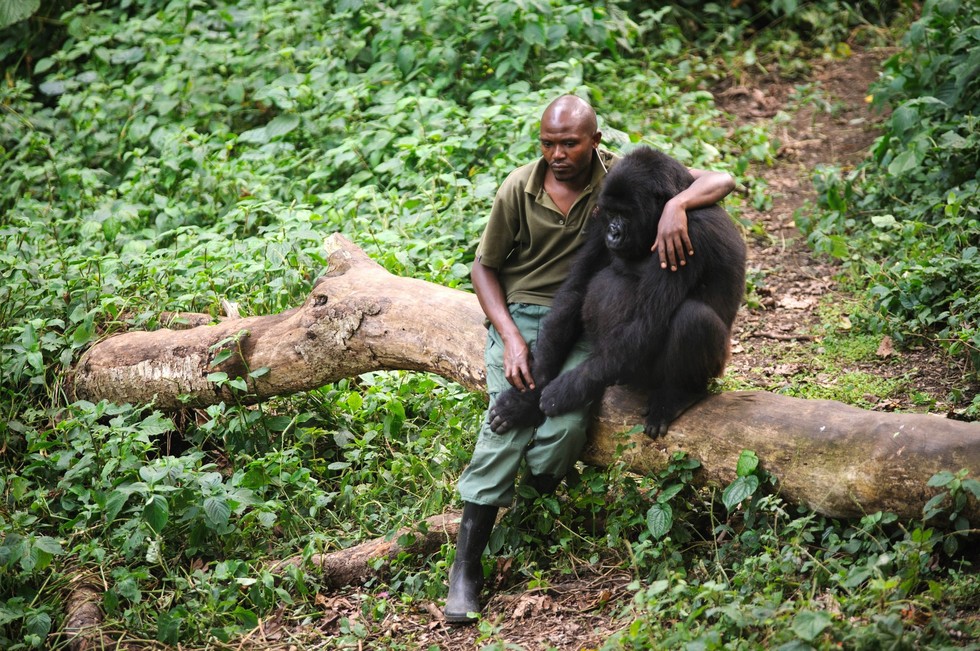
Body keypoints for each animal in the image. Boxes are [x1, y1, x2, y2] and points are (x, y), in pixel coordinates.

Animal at [486, 146, 748, 438]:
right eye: (611, 214)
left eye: (626, 214)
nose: (613, 233)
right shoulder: (598, 218)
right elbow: (576, 290)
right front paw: (526, 398)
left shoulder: (686, 230)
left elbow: (647, 320)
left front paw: (565, 391)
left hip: (711, 369)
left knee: (693, 318)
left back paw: (680, 394)